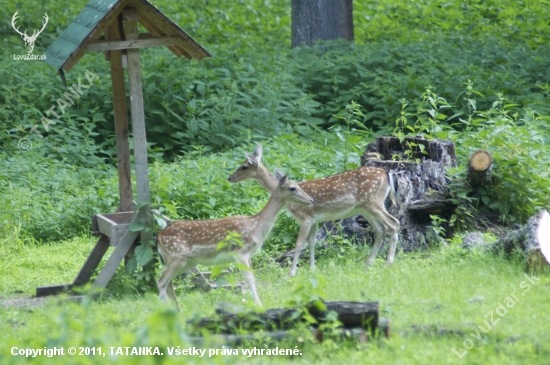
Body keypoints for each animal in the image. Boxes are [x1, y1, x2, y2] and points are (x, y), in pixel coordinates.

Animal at [156, 170, 314, 308]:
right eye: (293, 188)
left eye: (299, 185)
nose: (311, 200)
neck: (256, 227)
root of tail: (158, 237)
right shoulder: (240, 252)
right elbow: (250, 279)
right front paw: (259, 304)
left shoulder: (248, 255)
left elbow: (252, 278)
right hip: (177, 255)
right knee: (161, 281)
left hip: (186, 261)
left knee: (168, 282)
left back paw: (177, 309)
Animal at [229, 145, 402, 276]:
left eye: (244, 166)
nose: (230, 178)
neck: (291, 203)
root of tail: (387, 173)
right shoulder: (314, 219)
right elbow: (312, 242)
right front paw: (312, 269)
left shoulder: (305, 218)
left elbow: (299, 244)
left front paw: (291, 273)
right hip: (365, 207)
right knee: (381, 229)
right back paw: (368, 264)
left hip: (373, 202)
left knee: (394, 223)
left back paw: (389, 262)